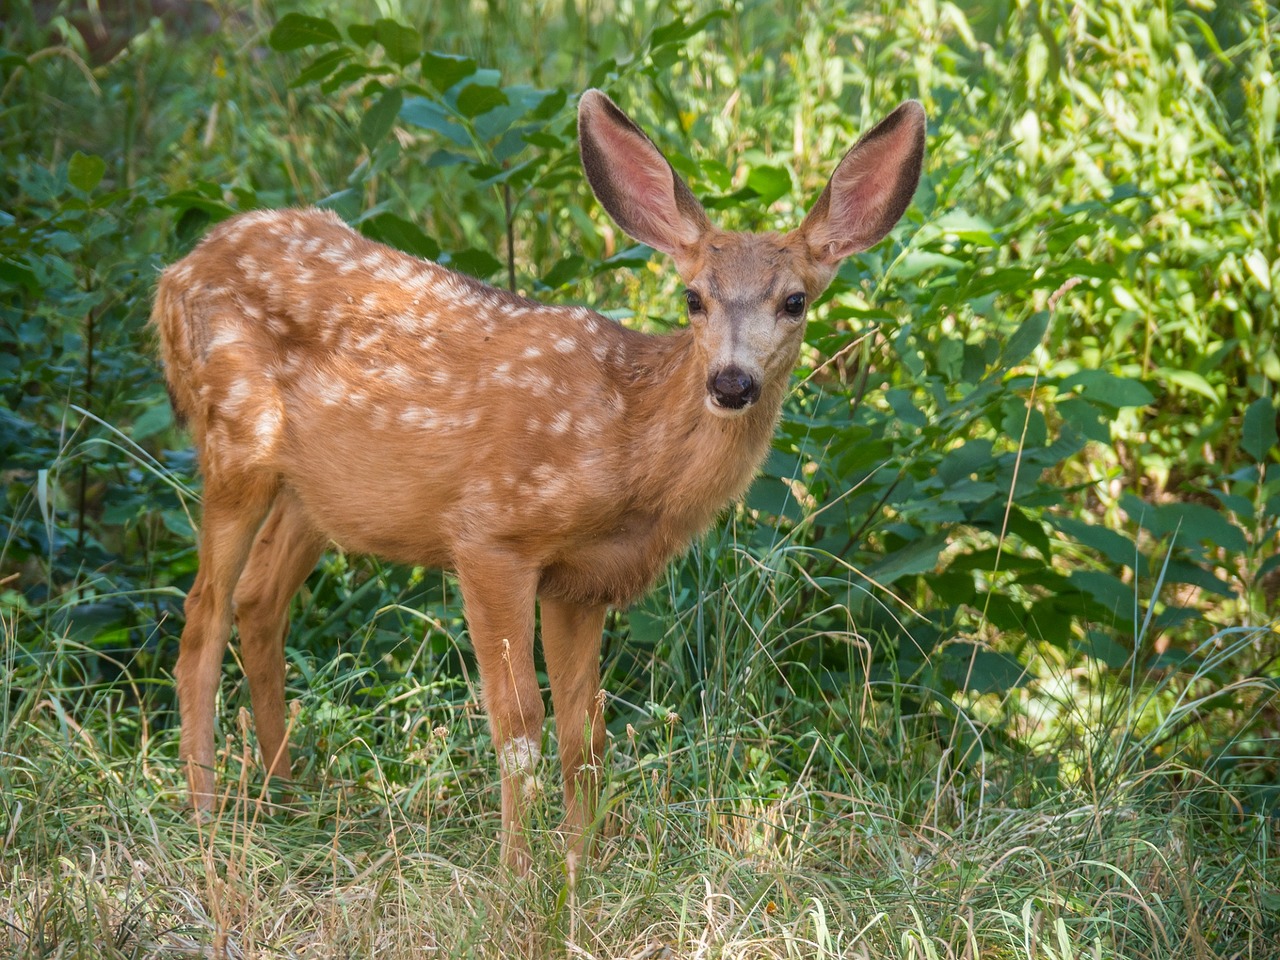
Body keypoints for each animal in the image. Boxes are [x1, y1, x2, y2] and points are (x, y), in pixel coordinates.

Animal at [154, 88, 926, 870]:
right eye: (693, 299)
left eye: (795, 301)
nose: (732, 382)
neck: (628, 446)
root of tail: (175, 272)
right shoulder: (491, 534)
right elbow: (520, 724)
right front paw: (516, 875)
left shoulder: (583, 581)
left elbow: (585, 734)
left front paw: (583, 868)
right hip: (234, 440)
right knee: (202, 616)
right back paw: (206, 817)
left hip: (319, 494)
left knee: (259, 600)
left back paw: (287, 797)